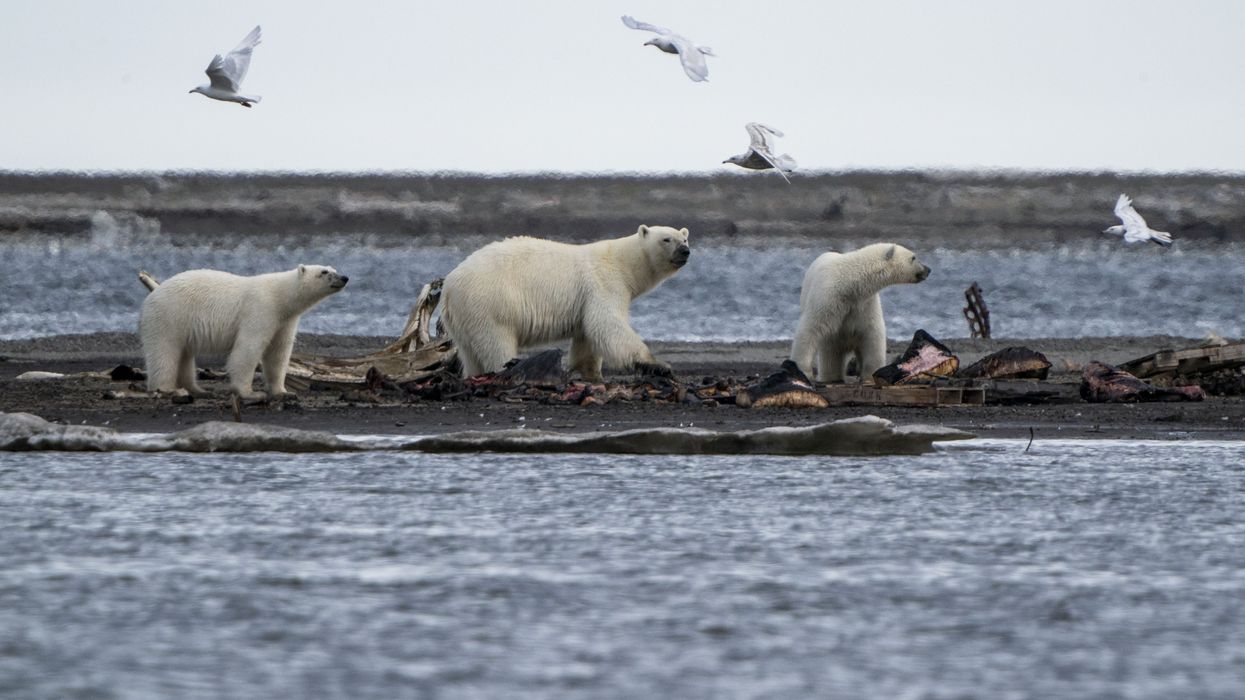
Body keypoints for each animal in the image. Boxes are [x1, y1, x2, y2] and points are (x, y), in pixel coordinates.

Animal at [139, 265, 348, 399]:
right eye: (324, 271)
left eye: (334, 268)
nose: (344, 277)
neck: (280, 296)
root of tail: (155, 290)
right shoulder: (260, 309)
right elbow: (248, 348)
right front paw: (250, 392)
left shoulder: (284, 321)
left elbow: (278, 353)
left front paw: (283, 392)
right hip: (169, 316)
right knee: (164, 352)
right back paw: (167, 389)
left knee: (184, 355)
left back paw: (198, 390)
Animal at [439, 225, 691, 381]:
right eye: (666, 239)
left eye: (685, 238)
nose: (685, 251)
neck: (623, 263)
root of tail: (449, 286)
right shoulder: (604, 283)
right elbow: (607, 324)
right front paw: (659, 365)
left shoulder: (587, 298)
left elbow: (588, 335)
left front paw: (591, 374)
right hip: (489, 303)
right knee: (496, 343)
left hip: (463, 318)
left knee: (470, 353)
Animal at [789, 243, 930, 383]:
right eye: (913, 257)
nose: (928, 269)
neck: (849, 285)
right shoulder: (827, 299)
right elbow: (810, 328)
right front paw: (804, 371)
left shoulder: (865, 304)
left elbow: (871, 335)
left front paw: (871, 375)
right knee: (831, 351)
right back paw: (831, 377)